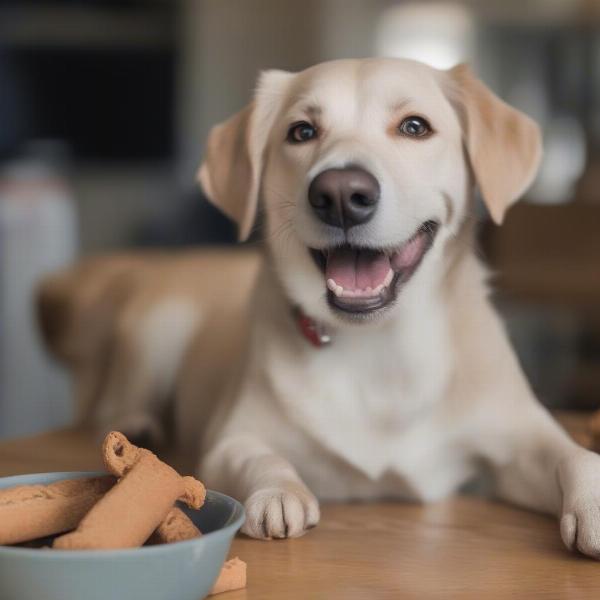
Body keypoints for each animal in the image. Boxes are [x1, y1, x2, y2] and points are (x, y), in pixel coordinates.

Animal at [39, 58, 600, 556]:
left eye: (414, 126)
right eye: (302, 131)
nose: (341, 193)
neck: (379, 343)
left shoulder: (519, 437)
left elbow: (575, 455)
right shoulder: (228, 440)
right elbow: (259, 457)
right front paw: (278, 492)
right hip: (160, 328)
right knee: (118, 402)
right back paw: (137, 425)